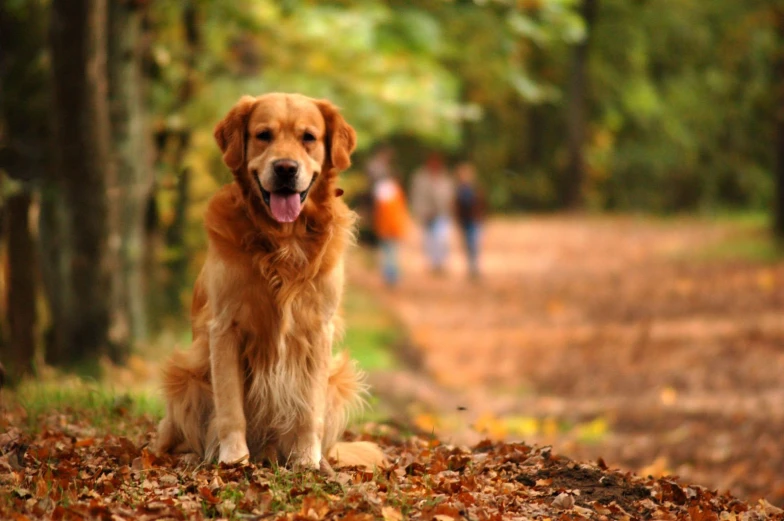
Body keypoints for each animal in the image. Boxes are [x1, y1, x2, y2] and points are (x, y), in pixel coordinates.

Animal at [154, 93, 382, 472]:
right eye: (263, 135)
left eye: (308, 137)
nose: (286, 168)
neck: (282, 242)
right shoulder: (225, 327)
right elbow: (231, 405)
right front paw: (233, 457)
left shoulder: (318, 329)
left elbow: (310, 409)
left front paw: (306, 458)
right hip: (182, 372)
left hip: (340, 378)